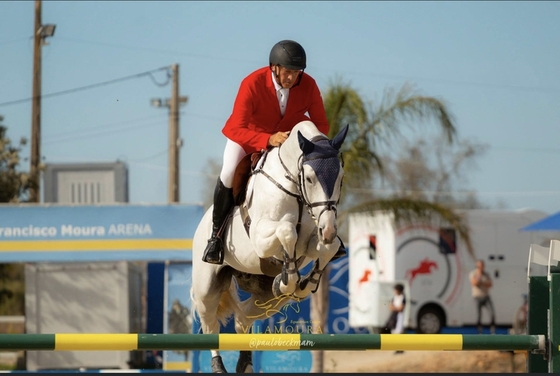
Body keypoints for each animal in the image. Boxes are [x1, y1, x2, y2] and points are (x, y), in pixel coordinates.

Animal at [194, 121, 350, 374]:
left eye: (340, 177)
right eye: (309, 178)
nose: (327, 228)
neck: (294, 188)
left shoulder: (313, 240)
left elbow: (328, 247)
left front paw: (303, 284)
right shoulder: (260, 237)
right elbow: (287, 231)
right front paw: (290, 279)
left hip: (268, 298)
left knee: (242, 319)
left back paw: (245, 363)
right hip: (206, 288)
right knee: (210, 326)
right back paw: (218, 366)